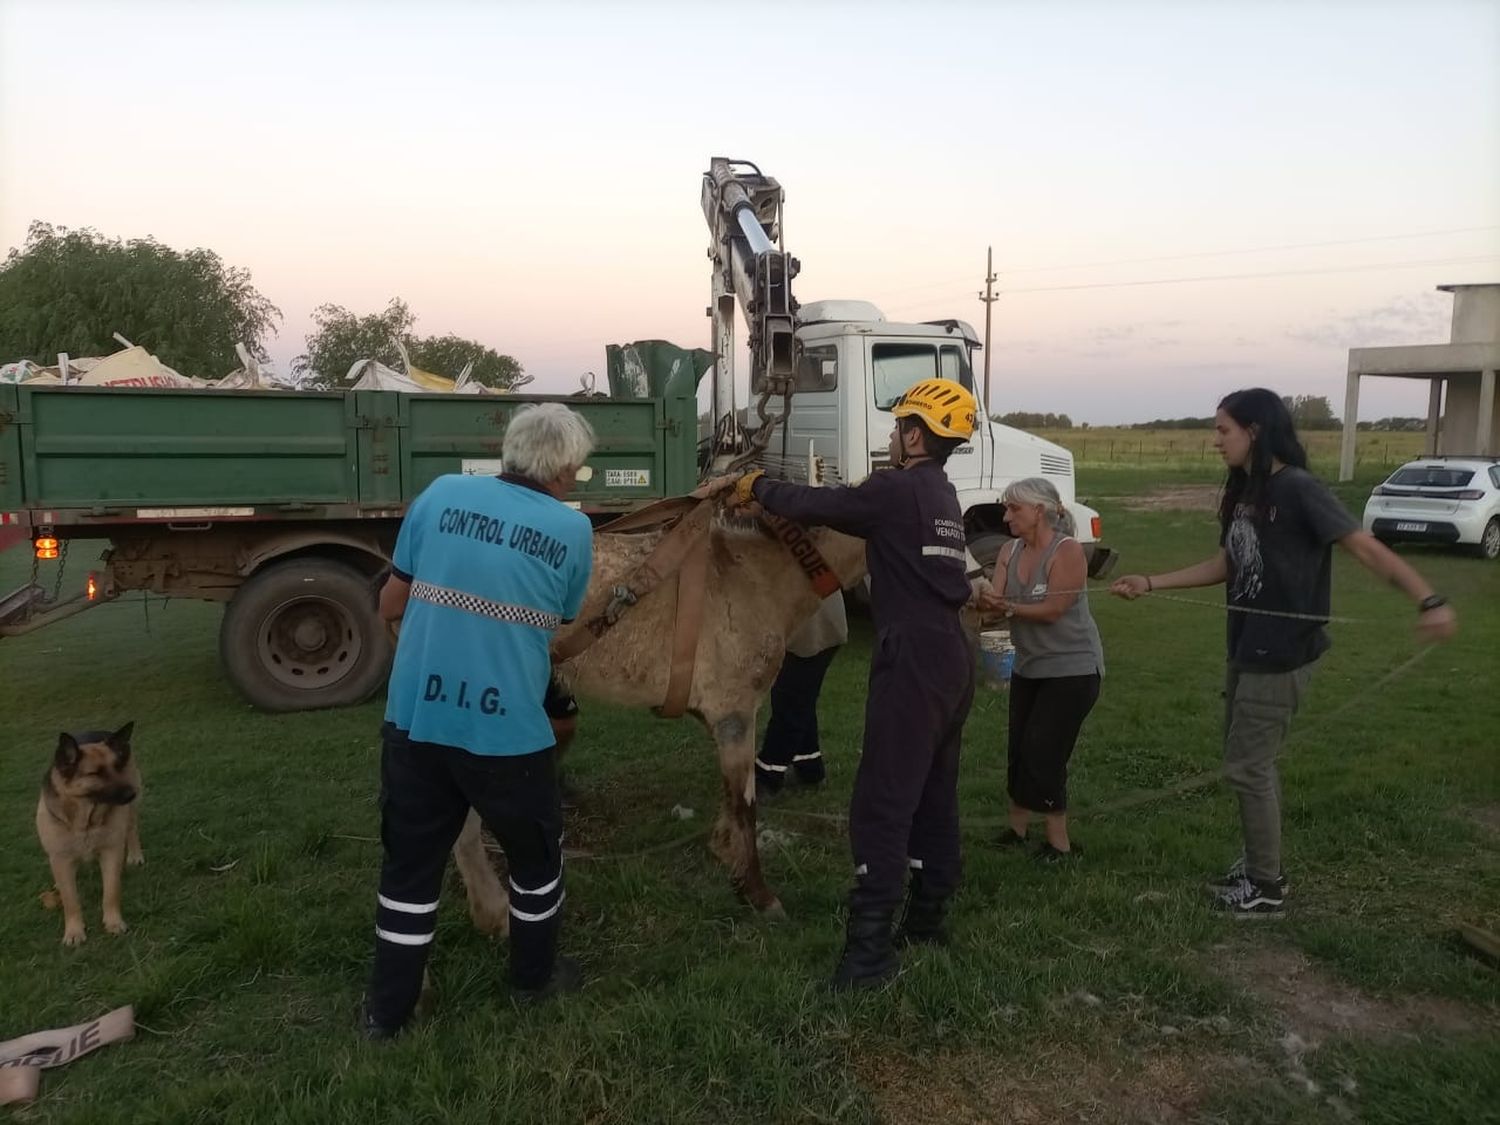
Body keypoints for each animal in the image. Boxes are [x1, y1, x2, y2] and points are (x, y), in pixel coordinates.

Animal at [36, 726, 143, 948]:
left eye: (117, 766)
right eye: (96, 773)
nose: (131, 793)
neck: (85, 820)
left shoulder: (111, 851)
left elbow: (111, 891)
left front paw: (113, 922)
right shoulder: (60, 858)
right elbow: (70, 900)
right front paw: (74, 931)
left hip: (130, 810)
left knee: (132, 829)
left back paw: (135, 855)